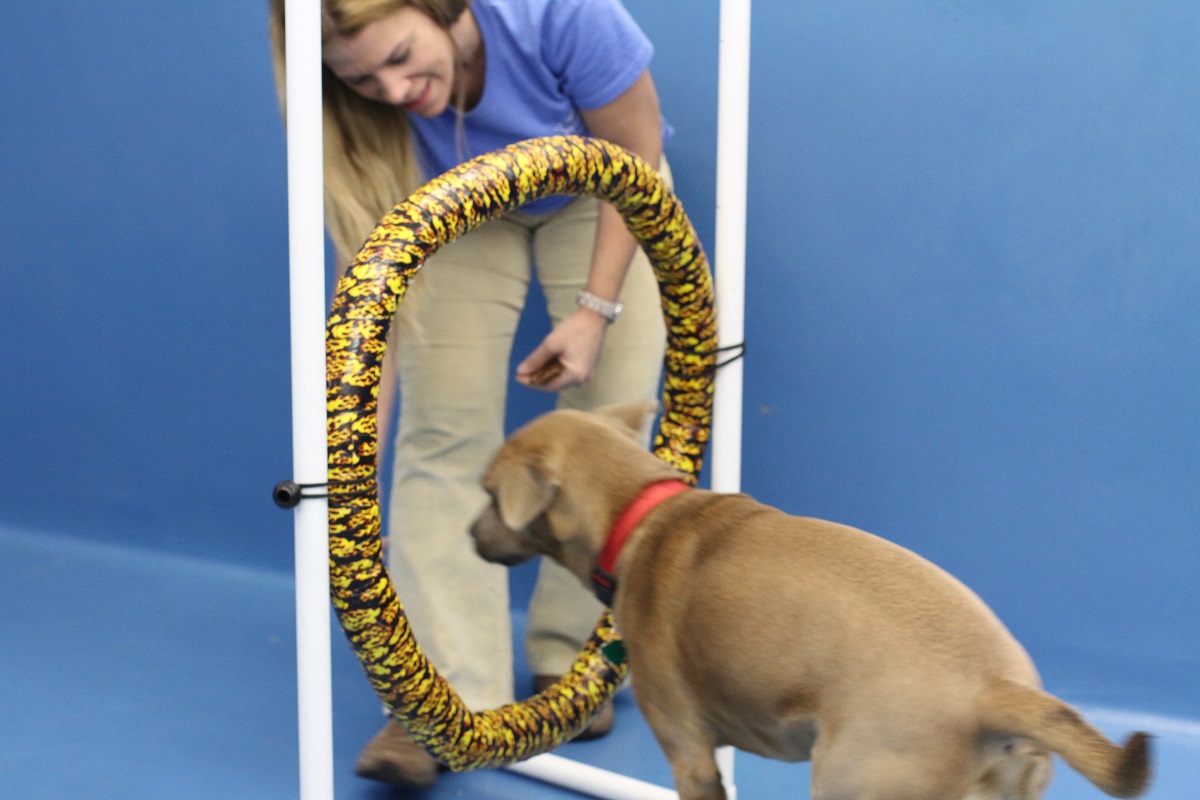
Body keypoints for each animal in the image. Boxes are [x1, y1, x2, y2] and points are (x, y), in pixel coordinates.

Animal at [469, 402, 1151, 800]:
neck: (639, 513)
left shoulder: (689, 754)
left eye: (490, 494)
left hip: (856, 782)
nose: (470, 533)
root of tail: (995, 690)